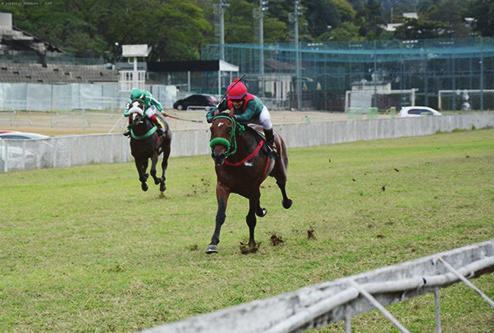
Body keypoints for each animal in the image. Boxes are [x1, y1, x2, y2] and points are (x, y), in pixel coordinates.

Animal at [206, 113, 292, 253]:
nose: (218, 155)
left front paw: (251, 245)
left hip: (280, 168)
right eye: (212, 129)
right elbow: (220, 215)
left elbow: (251, 218)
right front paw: (213, 243)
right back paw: (261, 210)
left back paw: (286, 202)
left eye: (229, 129)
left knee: (281, 183)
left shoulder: (252, 188)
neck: (238, 160)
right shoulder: (222, 186)